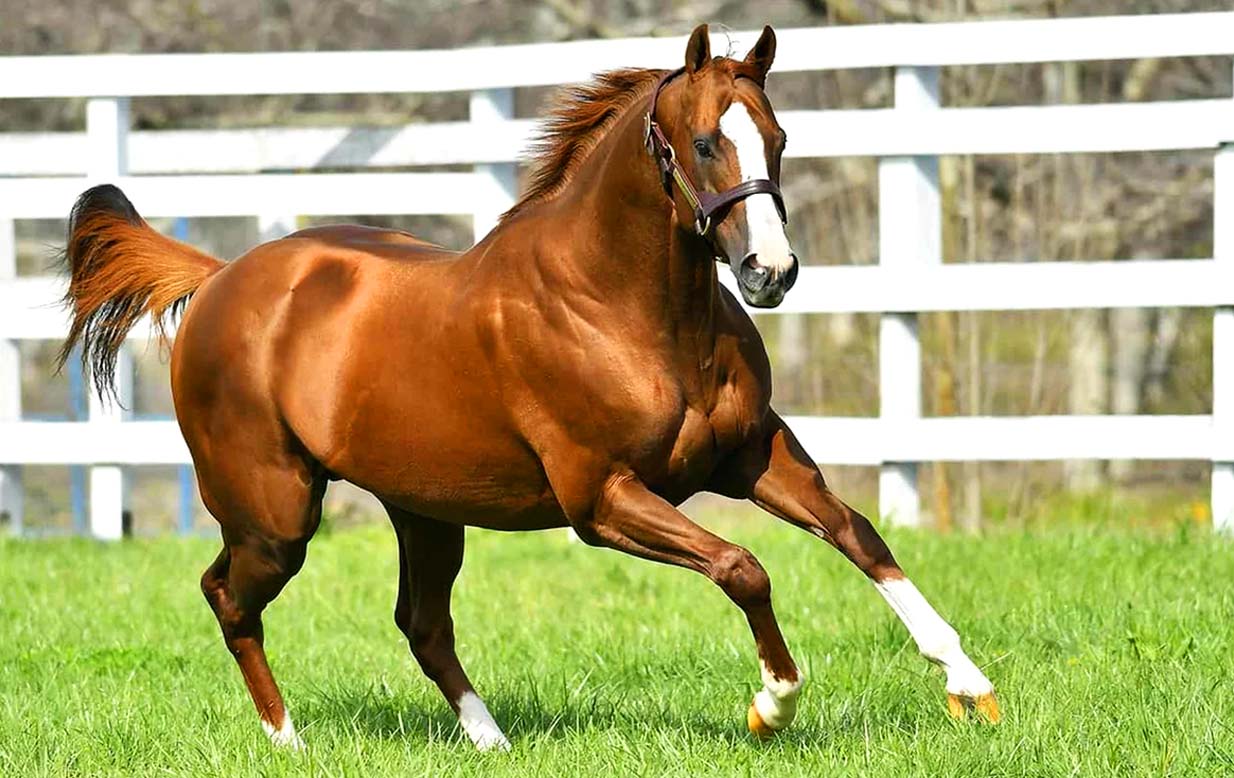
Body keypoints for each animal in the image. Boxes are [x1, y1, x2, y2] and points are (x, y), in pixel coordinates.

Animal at [57, 24, 998, 752]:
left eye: (780, 138)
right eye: (703, 142)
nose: (771, 273)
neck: (625, 311)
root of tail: (218, 278)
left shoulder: (753, 455)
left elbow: (857, 533)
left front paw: (969, 684)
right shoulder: (602, 498)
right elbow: (744, 567)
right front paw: (773, 704)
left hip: (424, 510)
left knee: (422, 623)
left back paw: (491, 739)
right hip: (275, 513)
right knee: (229, 596)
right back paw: (288, 739)